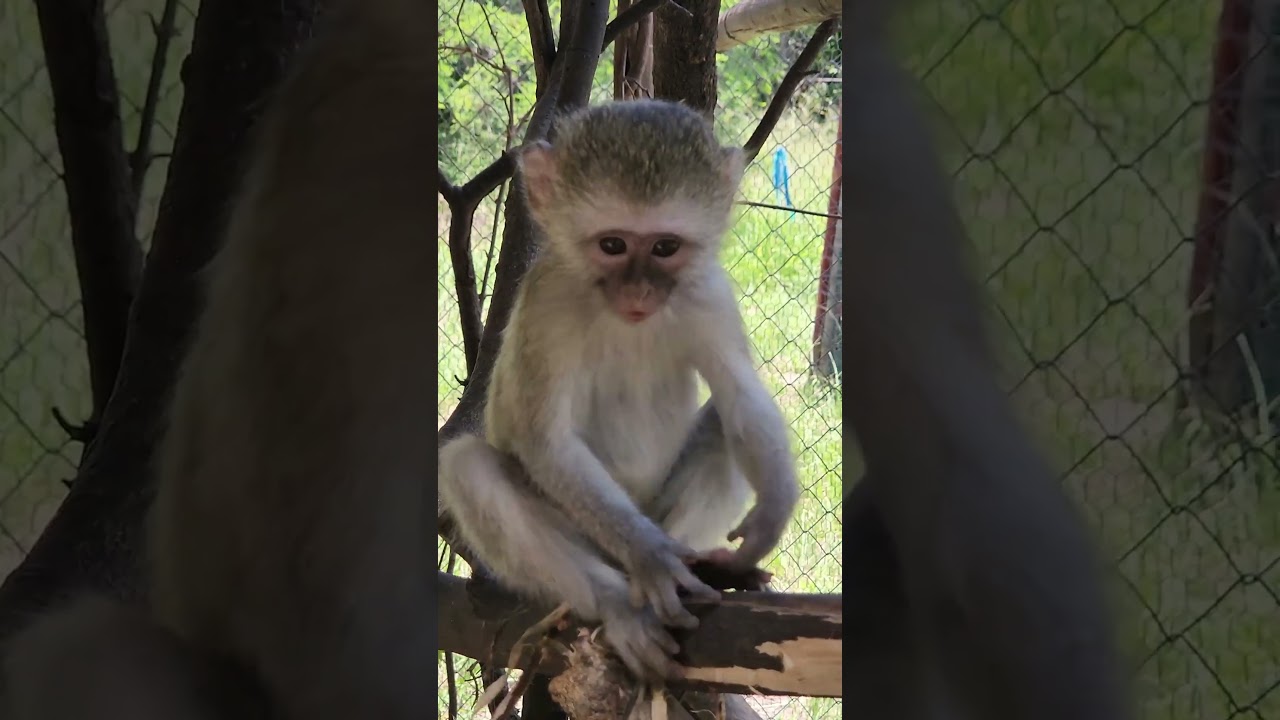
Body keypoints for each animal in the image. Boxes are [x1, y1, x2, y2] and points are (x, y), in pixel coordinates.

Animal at [438, 98, 801, 684]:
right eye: (612, 244)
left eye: (665, 247)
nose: (639, 292)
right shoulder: (549, 301)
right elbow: (545, 441)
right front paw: (651, 556)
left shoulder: (707, 291)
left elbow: (740, 394)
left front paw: (772, 515)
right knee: (468, 467)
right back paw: (622, 602)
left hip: (661, 506)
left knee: (723, 422)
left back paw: (705, 573)